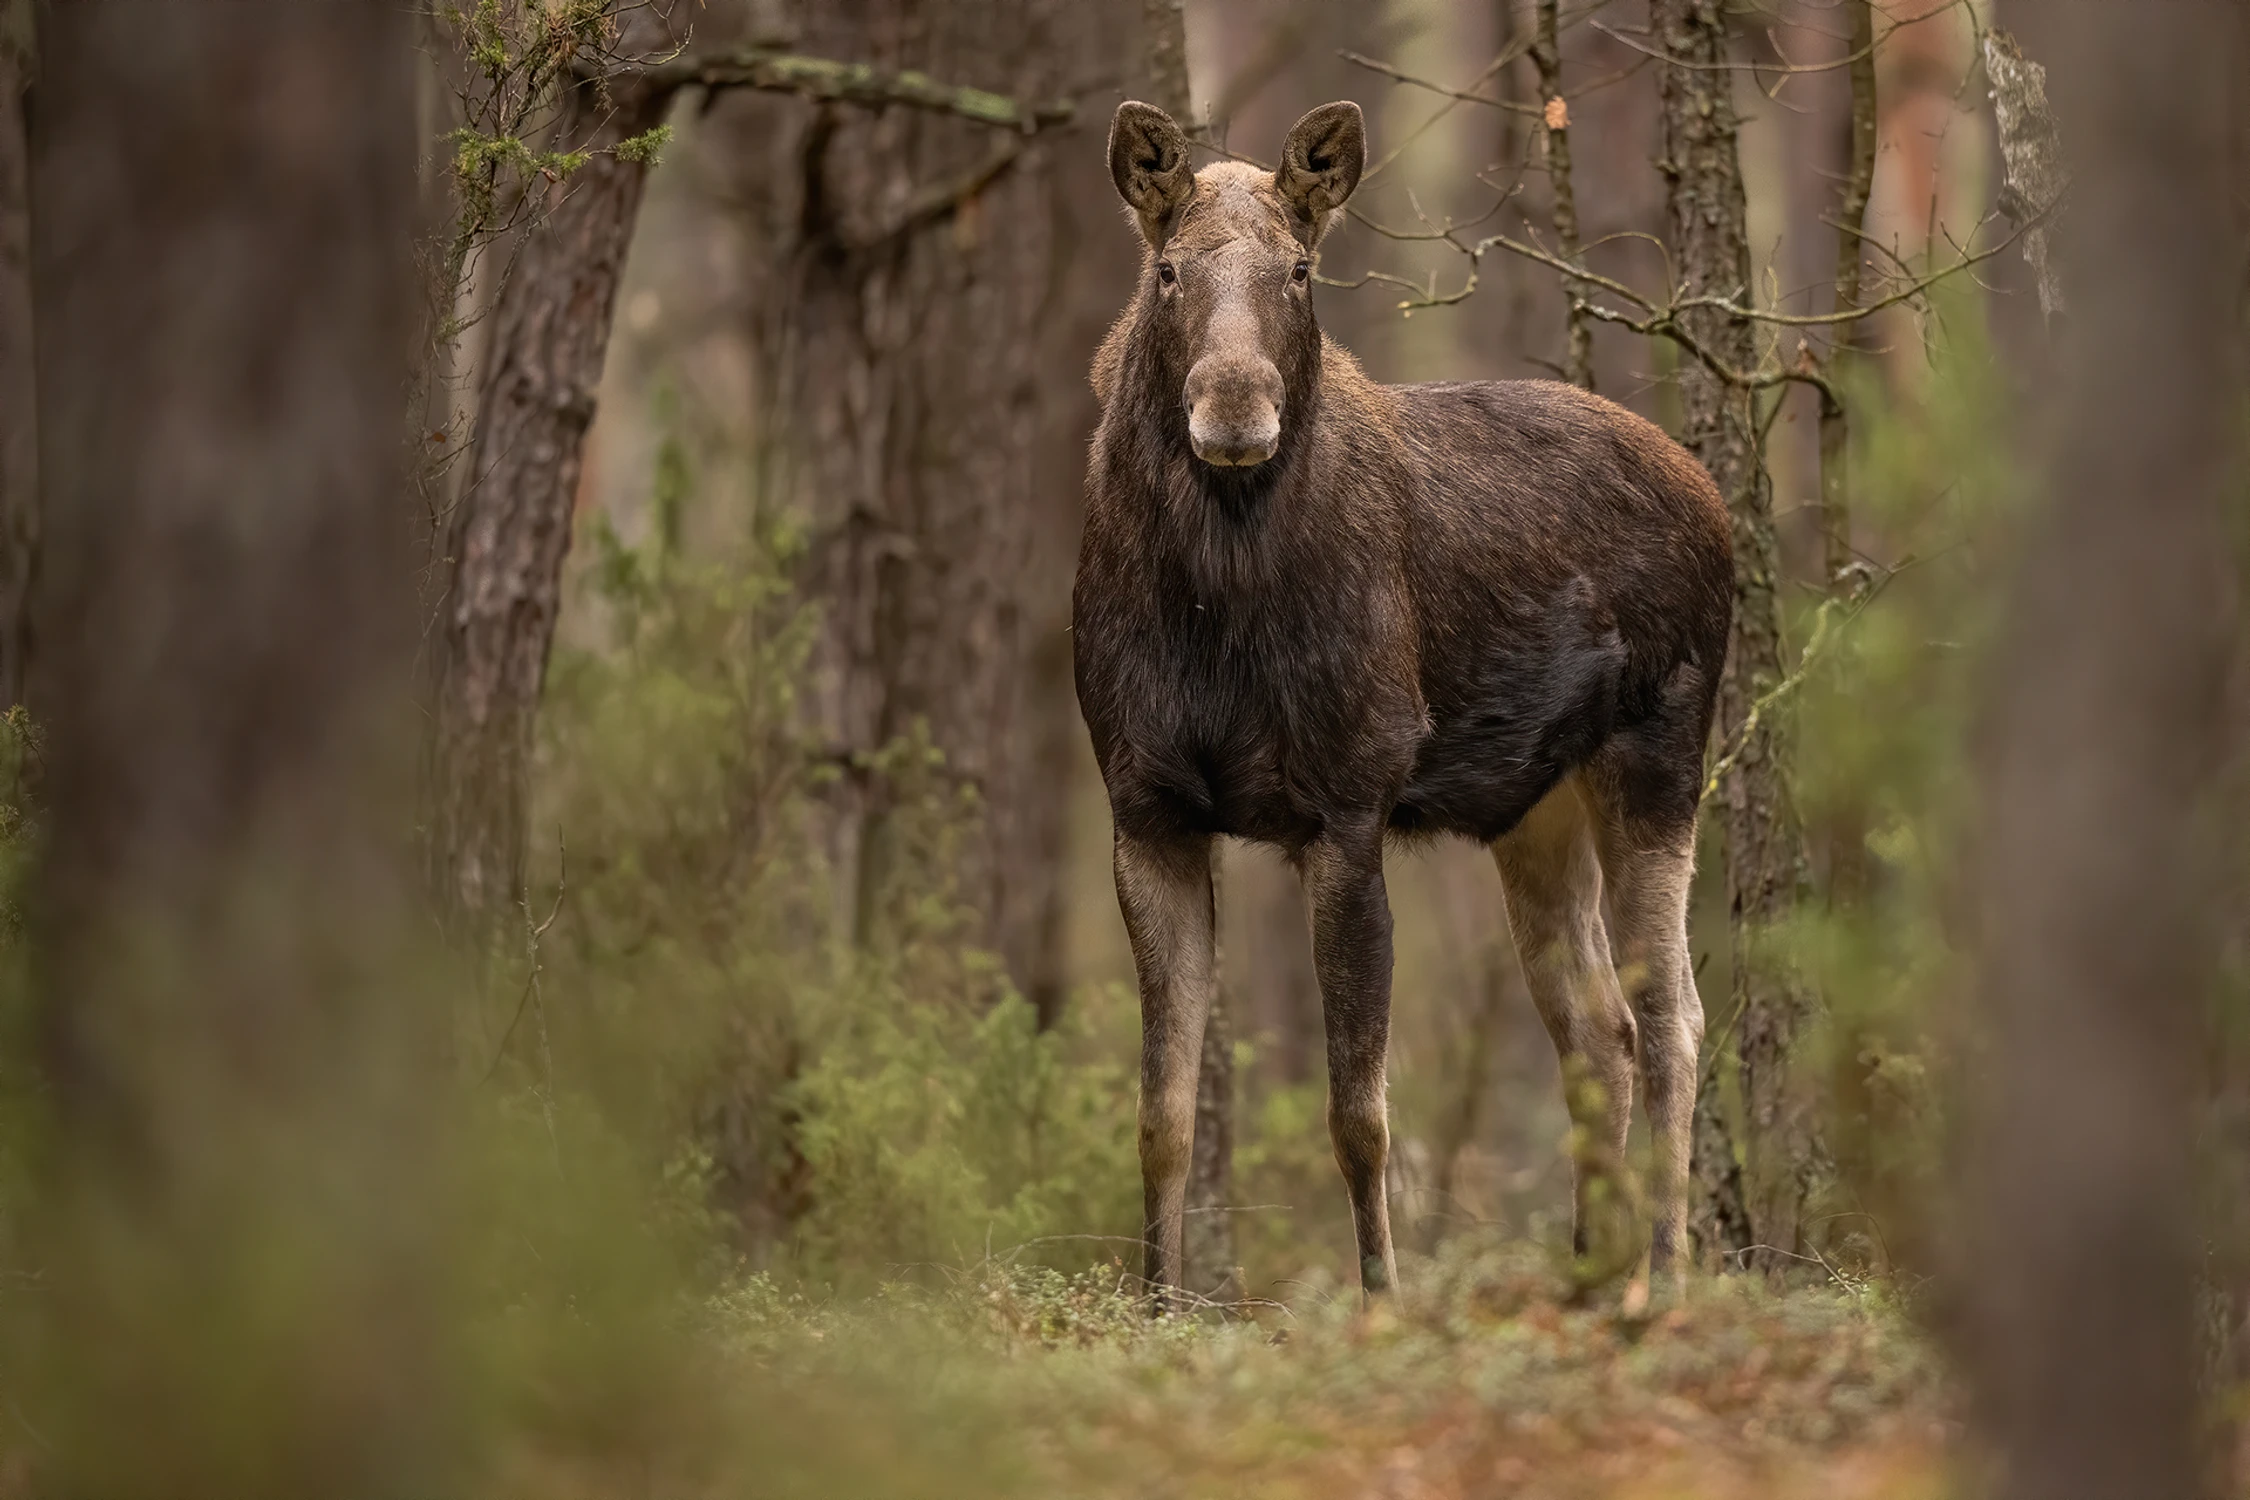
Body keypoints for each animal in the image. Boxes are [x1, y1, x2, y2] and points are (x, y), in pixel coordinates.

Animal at [1080, 96, 1728, 1304]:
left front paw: (1381, 1299)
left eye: (1300, 269)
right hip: (1534, 809)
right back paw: (1585, 1273)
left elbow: (1360, 1116)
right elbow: (1161, 1114)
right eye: (1168, 270)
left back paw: (1658, 1279)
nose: (1234, 407)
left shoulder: (1348, 802)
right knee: (1597, 1029)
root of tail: (1712, 495)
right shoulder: (1144, 810)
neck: (1212, 605)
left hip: (1662, 759)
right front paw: (1159, 1304)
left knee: (1672, 1017)